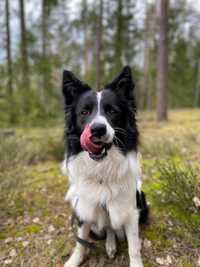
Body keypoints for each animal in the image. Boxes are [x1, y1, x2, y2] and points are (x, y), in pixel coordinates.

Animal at [61, 67, 148, 267]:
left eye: (112, 111)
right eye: (84, 112)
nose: (97, 129)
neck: (102, 170)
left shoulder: (131, 212)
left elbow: (134, 247)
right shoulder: (84, 208)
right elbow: (81, 243)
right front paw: (74, 260)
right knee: (107, 227)